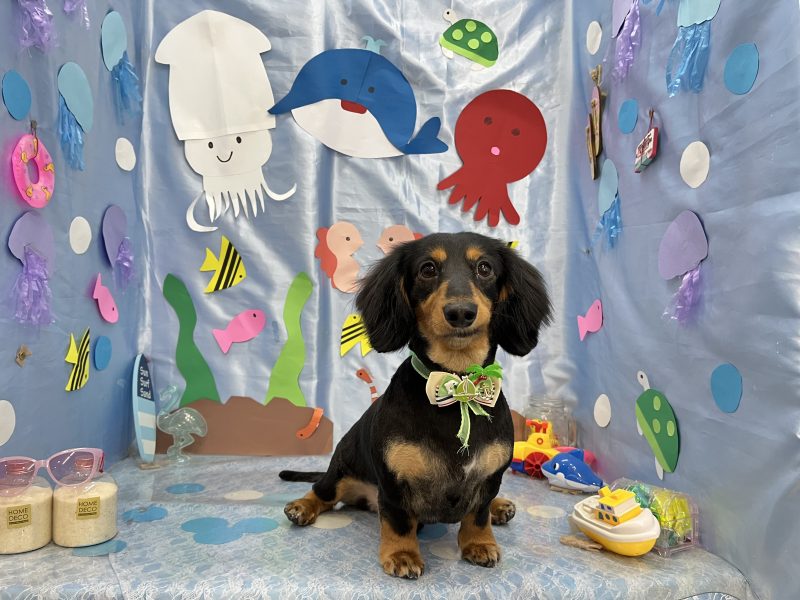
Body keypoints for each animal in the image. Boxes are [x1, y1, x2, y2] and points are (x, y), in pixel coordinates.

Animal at [279, 232, 551, 578]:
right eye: (427, 269)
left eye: (485, 268)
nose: (460, 312)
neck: (456, 384)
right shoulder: (394, 483)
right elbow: (398, 521)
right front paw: (402, 554)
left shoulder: (491, 478)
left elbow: (477, 515)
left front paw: (478, 543)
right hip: (341, 469)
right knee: (323, 491)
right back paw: (302, 506)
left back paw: (500, 506)